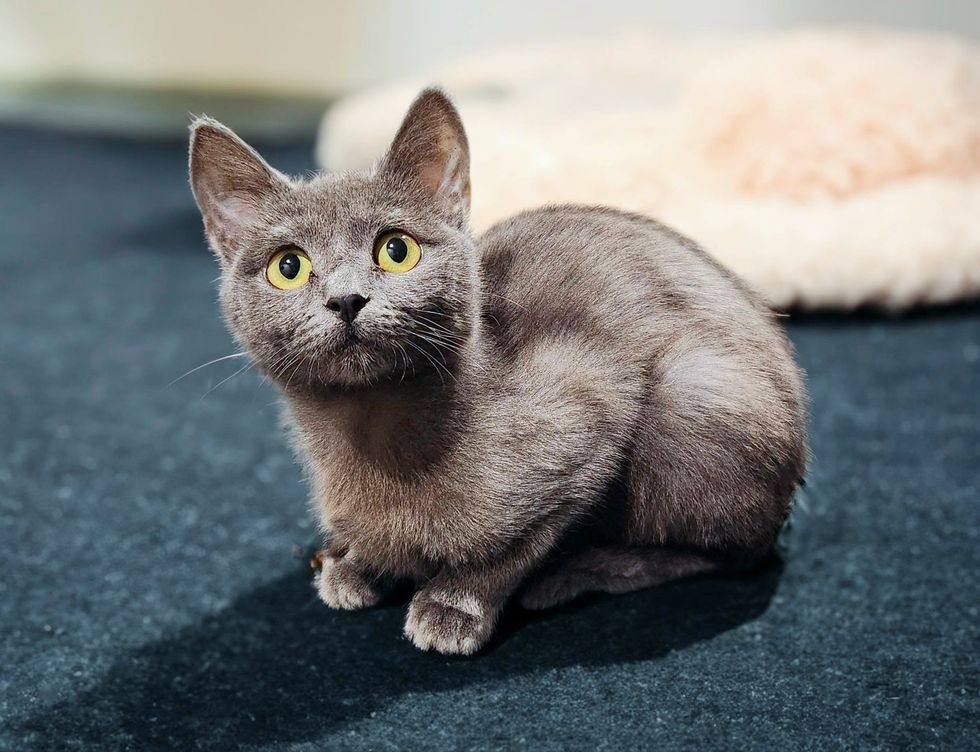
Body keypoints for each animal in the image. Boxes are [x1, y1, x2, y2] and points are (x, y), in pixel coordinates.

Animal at [188, 86, 808, 652]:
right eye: (288, 266)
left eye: (396, 250)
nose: (346, 299)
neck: (371, 436)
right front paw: (357, 563)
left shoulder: (589, 417)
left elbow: (515, 545)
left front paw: (452, 604)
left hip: (692, 392)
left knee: (731, 552)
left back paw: (580, 571)